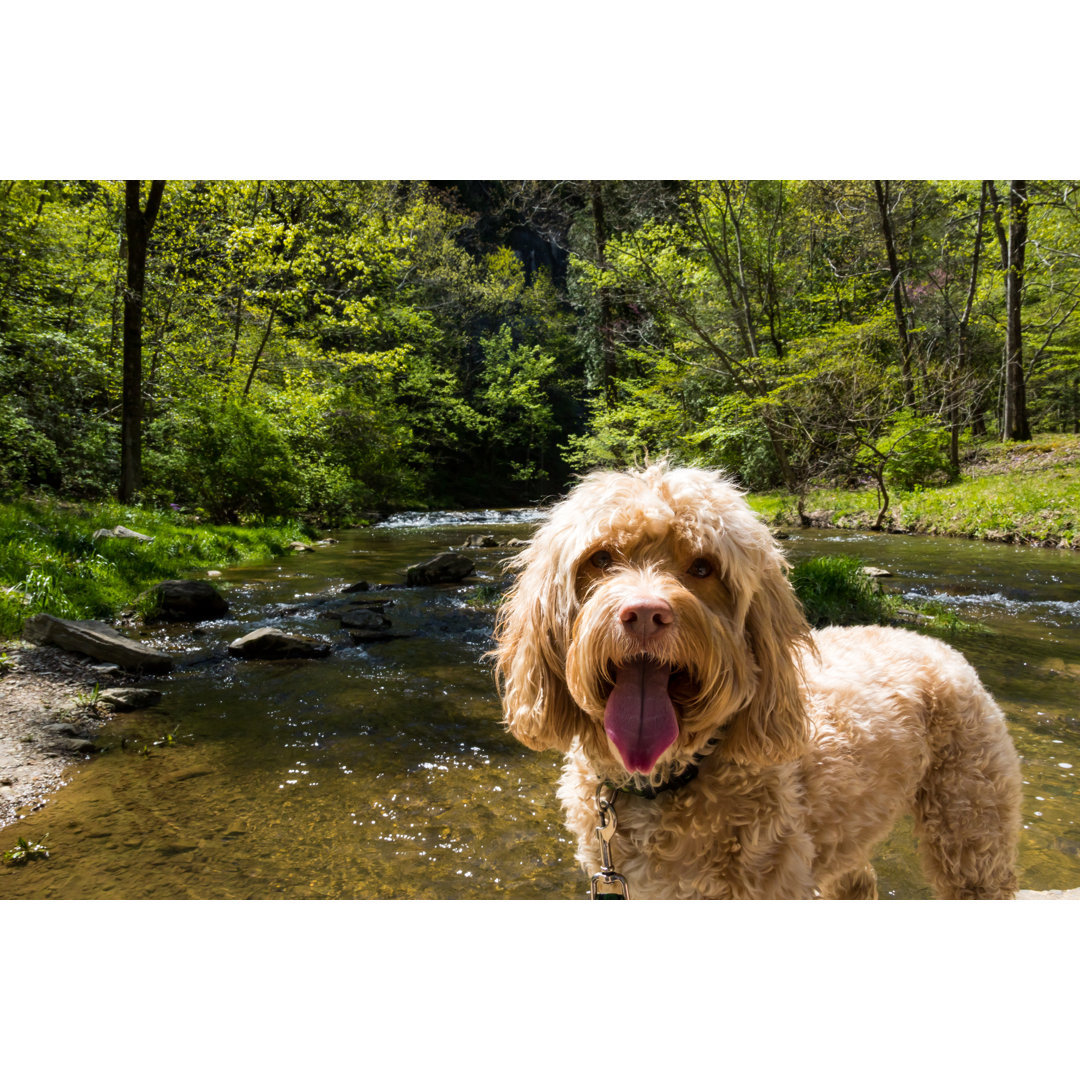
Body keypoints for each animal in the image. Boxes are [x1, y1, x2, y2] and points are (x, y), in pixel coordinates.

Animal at [494, 462, 1023, 894]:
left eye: (703, 566)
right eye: (601, 559)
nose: (644, 614)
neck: (667, 778)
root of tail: (935, 643)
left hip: (969, 824)